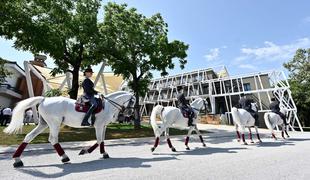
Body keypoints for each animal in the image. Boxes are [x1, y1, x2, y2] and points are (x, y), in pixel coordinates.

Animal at [3, 90, 134, 168]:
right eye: (132, 101)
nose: (129, 113)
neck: (107, 106)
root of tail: (45, 99)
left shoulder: (104, 126)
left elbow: (101, 140)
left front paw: (101, 153)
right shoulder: (99, 126)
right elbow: (98, 140)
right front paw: (88, 151)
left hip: (43, 124)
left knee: (29, 137)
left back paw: (17, 160)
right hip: (54, 123)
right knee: (53, 139)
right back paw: (65, 157)